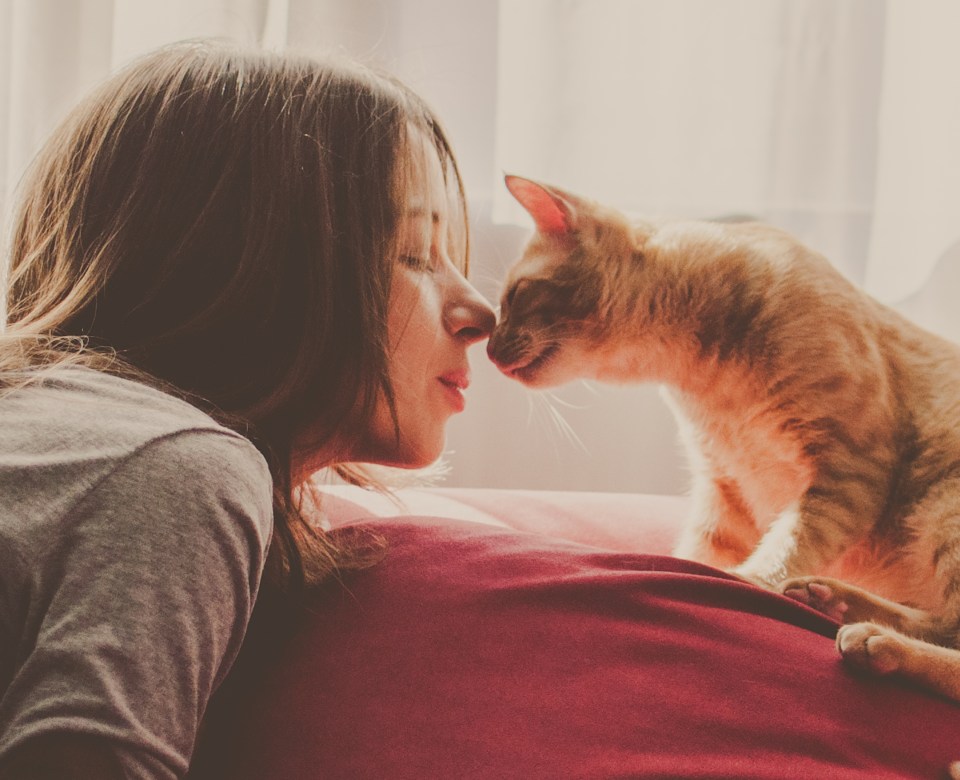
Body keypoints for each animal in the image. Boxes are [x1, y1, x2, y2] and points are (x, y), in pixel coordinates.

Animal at [488, 172, 960, 712]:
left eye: (516, 295)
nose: (489, 348)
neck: (705, 381)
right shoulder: (725, 493)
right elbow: (699, 560)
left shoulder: (849, 468)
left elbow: (785, 546)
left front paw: (748, 581)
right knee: (945, 624)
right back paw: (833, 600)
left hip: (942, 508)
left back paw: (879, 642)